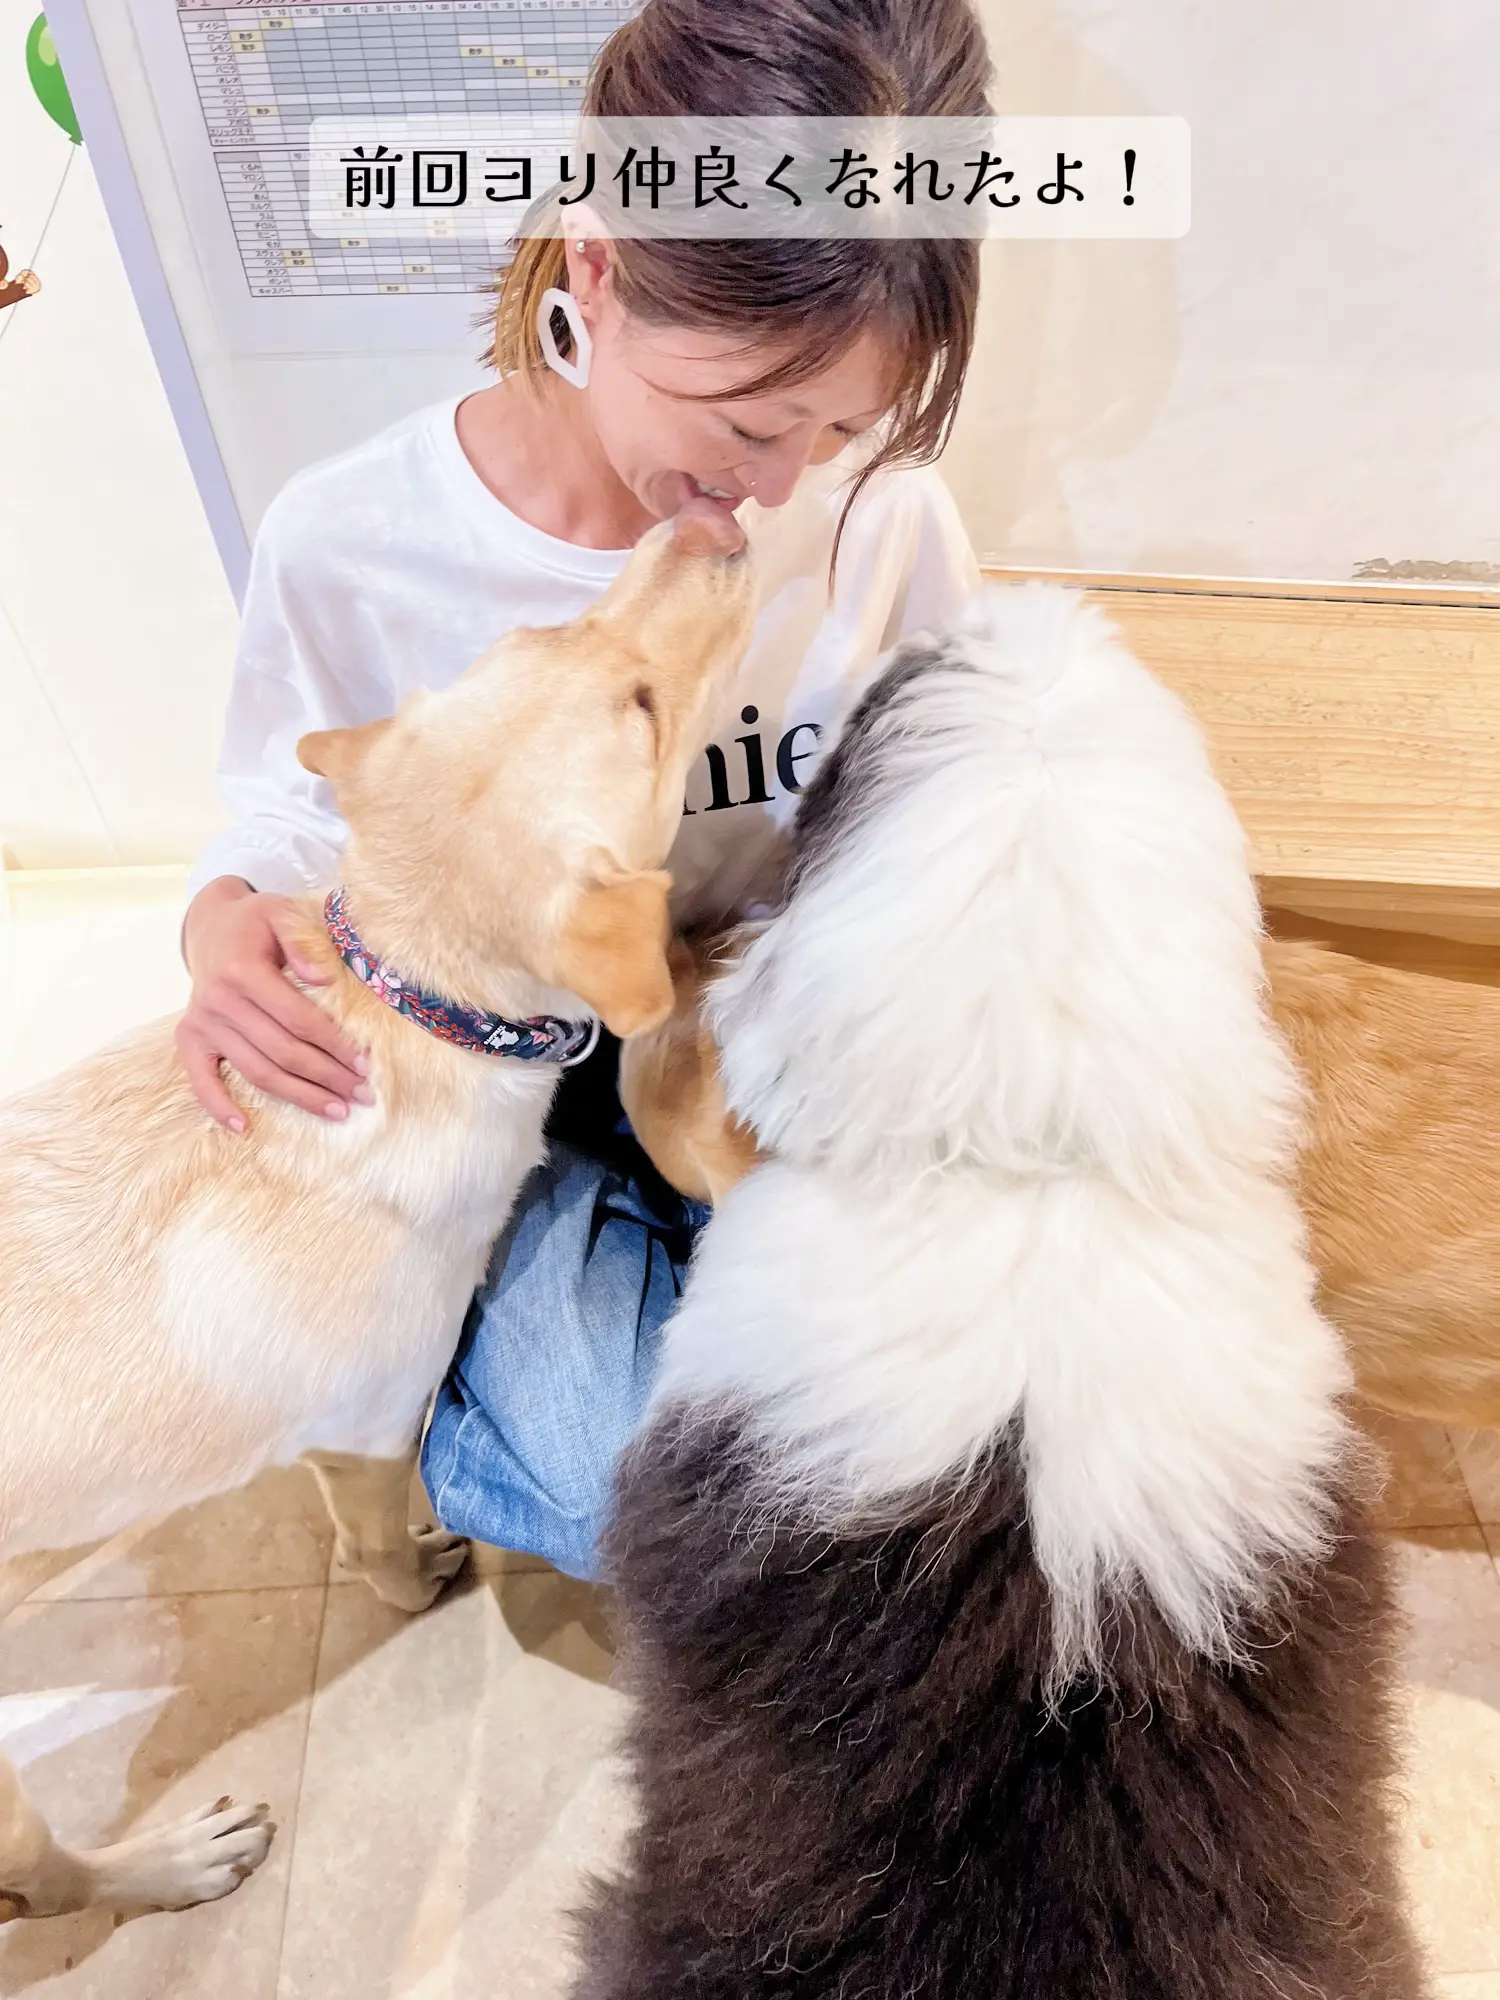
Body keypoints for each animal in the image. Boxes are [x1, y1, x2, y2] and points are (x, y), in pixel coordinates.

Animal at [0, 500, 752, 1920]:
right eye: (641, 712)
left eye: (552, 626)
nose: (706, 523)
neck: (407, 999)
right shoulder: (363, 1429)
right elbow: (378, 1548)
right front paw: (418, 1566)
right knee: (45, 1877)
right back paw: (173, 1865)